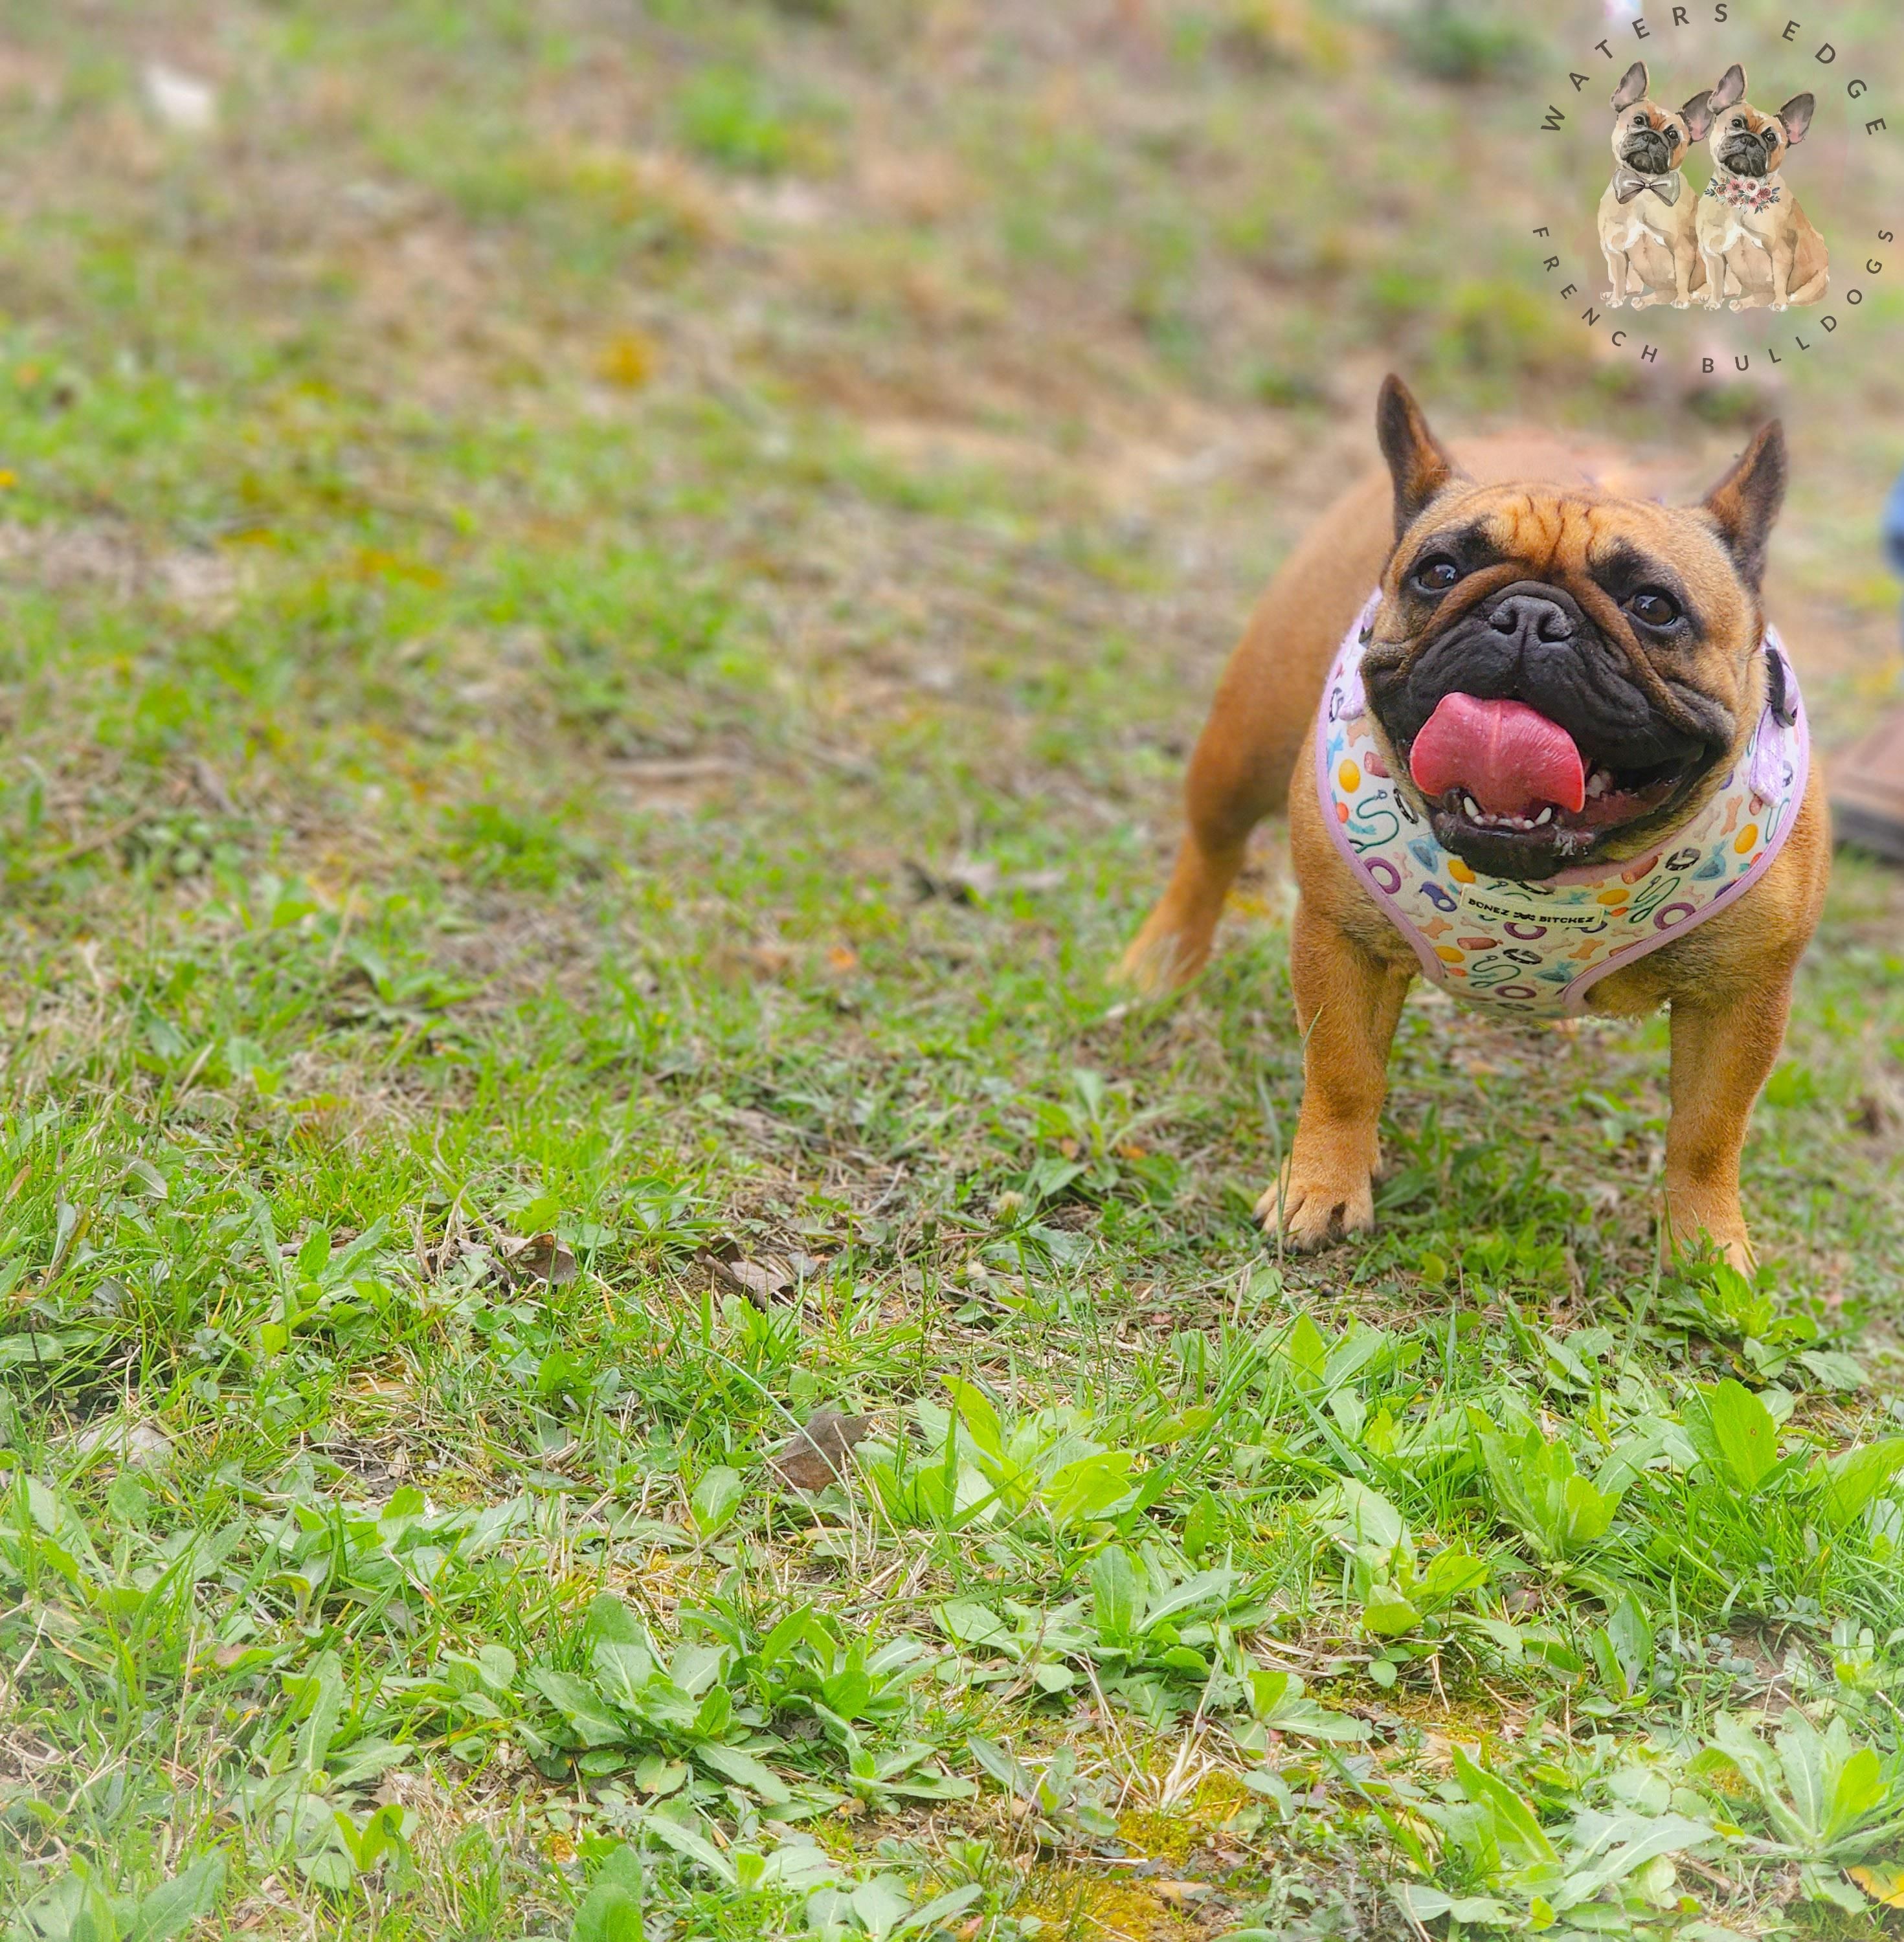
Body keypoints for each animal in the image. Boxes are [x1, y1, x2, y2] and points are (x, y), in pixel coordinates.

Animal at [1121, 378, 1829, 1272]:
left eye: (1653, 606)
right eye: (1440, 571)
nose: (1528, 616)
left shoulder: (1740, 998)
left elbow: (1708, 1131)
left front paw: (1705, 1253)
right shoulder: (1341, 941)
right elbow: (1343, 1072)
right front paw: (1322, 1188)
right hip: (1245, 740)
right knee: (1209, 848)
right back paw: (1157, 966)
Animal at [1599, 61, 1714, 310]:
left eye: (1672, 135)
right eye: (1639, 121)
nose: (1652, 137)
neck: (1645, 187)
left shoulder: (1683, 250)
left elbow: (1682, 279)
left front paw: (1683, 300)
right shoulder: (1615, 248)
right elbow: (1619, 277)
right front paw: (1616, 299)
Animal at [1696, 63, 1828, 310]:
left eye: (1770, 138)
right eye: (1737, 124)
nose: (1750, 139)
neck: (1740, 193)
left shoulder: (1780, 253)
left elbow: (1780, 281)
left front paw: (1780, 303)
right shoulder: (1713, 252)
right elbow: (1716, 280)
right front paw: (1713, 302)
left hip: (1816, 282)